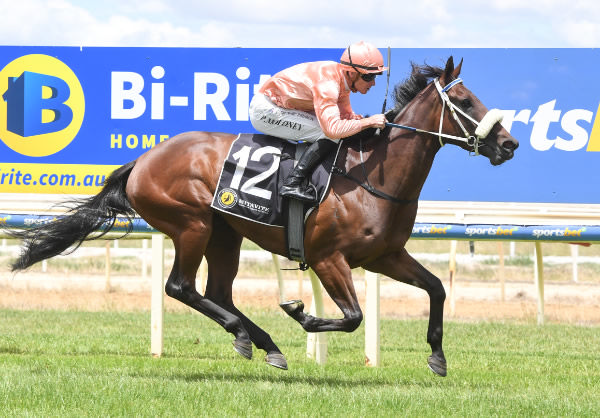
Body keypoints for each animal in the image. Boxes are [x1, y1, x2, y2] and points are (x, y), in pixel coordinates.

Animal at [9, 55, 516, 376]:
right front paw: (302, 313)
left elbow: (436, 288)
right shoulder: (329, 258)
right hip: (191, 224)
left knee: (216, 291)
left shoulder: (384, 256)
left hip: (224, 233)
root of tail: (144, 159)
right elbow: (351, 316)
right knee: (181, 287)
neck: (373, 176)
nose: (509, 144)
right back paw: (251, 336)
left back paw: (262, 343)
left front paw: (438, 357)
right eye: (465, 103)